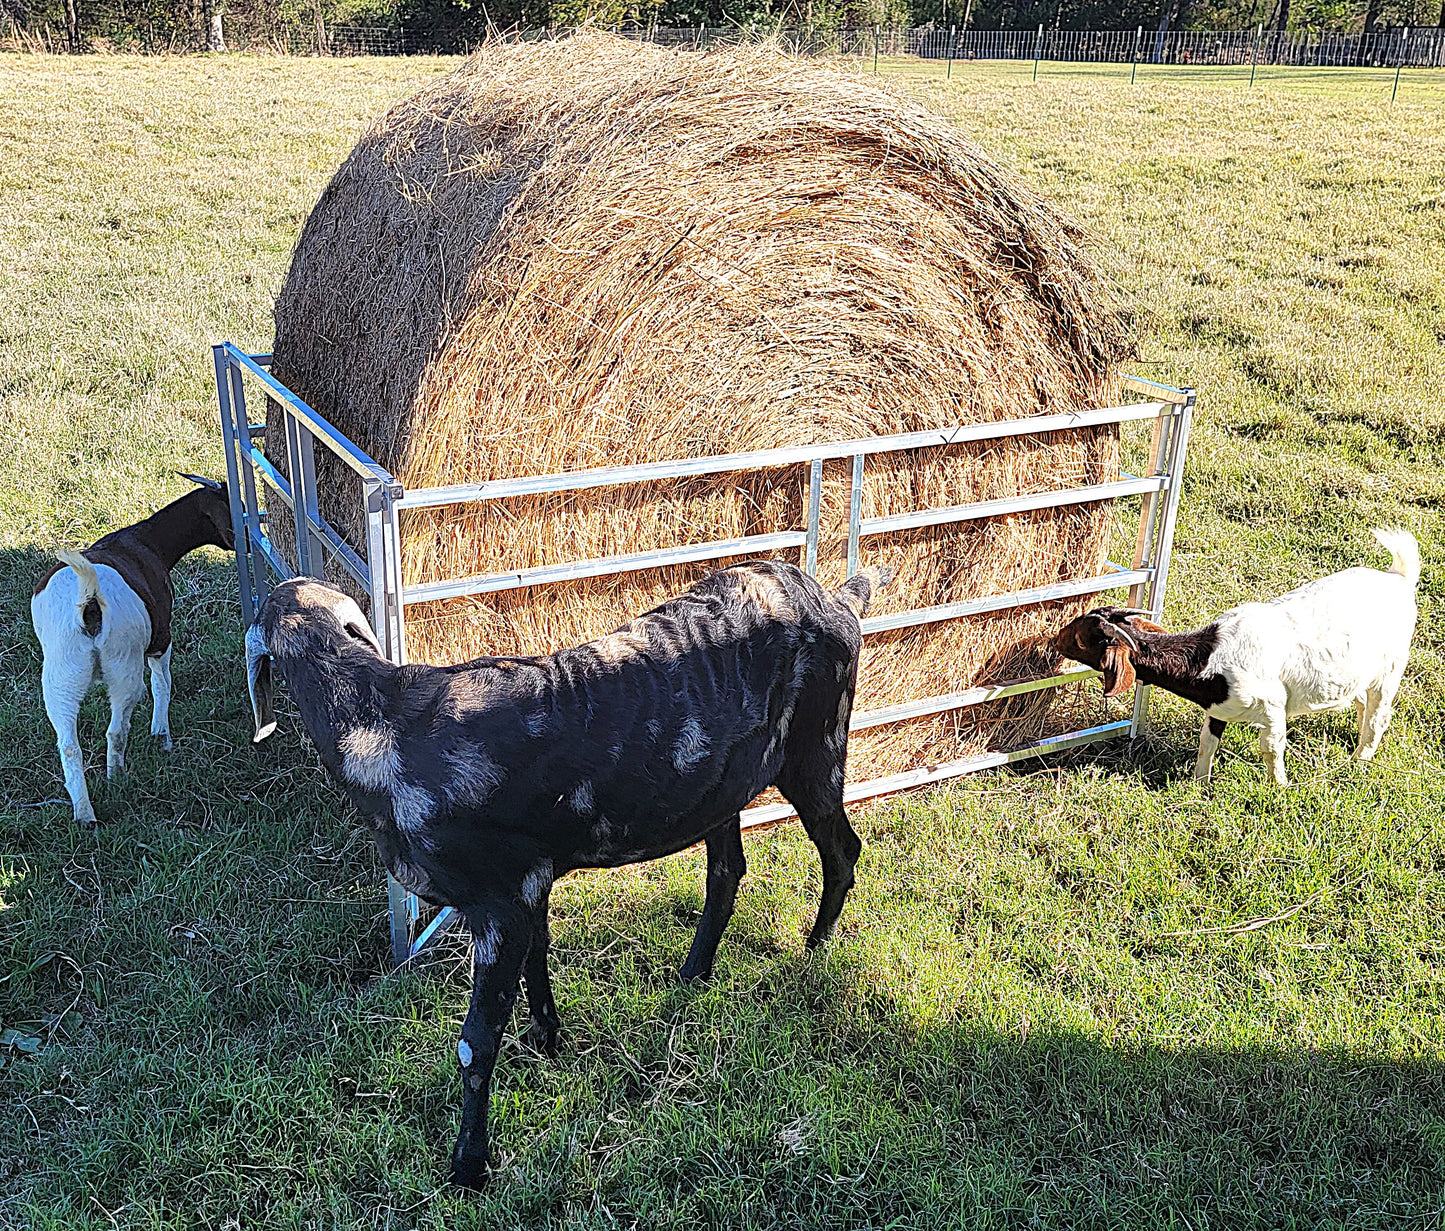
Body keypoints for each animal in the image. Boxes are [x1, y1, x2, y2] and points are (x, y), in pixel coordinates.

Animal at [31, 475, 236, 826]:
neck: (145, 542)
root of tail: (88, 601)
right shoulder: (160, 640)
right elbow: (163, 684)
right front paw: (162, 737)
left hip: (60, 677)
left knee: (69, 746)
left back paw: (84, 814)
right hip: (123, 667)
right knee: (117, 730)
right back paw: (117, 778)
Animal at [243, 560, 883, 1187]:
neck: (382, 724)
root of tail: (837, 597)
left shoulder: (499, 900)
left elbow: (475, 1044)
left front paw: (468, 1168)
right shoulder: (529, 884)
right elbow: (538, 961)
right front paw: (547, 1042)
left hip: (817, 747)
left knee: (843, 850)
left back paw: (814, 948)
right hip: (720, 788)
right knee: (727, 872)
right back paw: (692, 975)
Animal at [1051, 528, 1420, 786]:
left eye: (1082, 640)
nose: (1054, 640)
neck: (1208, 660)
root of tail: (1399, 578)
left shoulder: (1272, 706)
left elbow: (1271, 748)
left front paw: (1279, 786)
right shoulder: (1217, 709)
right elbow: (1206, 743)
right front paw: (1198, 784)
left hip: (1391, 669)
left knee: (1378, 715)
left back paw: (1360, 759)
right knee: (1361, 701)